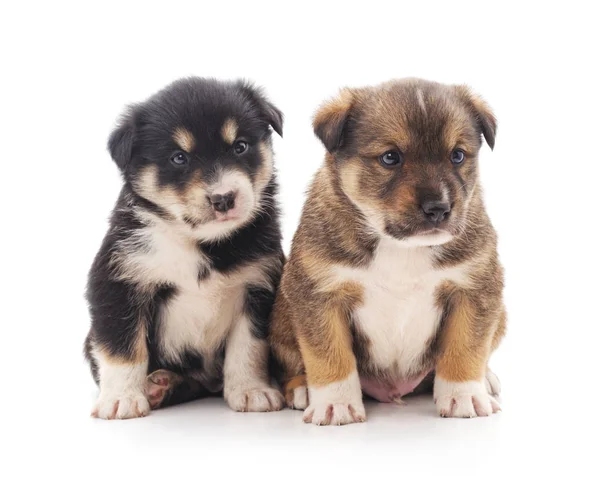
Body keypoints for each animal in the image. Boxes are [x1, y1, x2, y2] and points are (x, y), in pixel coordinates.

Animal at [84, 78, 286, 422]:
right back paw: (158, 385)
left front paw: (251, 391)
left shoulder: (258, 286)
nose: (223, 198)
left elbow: (248, 347)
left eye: (240, 146)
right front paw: (121, 399)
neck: (198, 242)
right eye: (179, 158)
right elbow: (122, 347)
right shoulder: (118, 283)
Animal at [272, 78, 506, 426]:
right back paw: (302, 388)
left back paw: (486, 379)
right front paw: (335, 404)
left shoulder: (475, 289)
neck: (401, 246)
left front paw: (463, 395)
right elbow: (329, 354)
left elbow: (466, 347)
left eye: (457, 155)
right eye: (390, 157)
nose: (439, 209)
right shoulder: (319, 294)